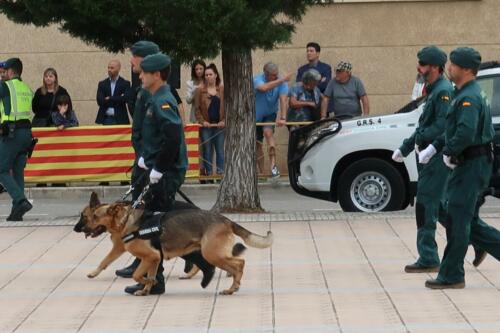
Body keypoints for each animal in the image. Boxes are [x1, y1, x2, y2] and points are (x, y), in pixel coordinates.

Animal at [74, 192, 274, 296]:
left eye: (89, 217)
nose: (76, 229)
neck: (125, 221)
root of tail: (225, 219)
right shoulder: (154, 259)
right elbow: (148, 274)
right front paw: (147, 289)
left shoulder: (149, 256)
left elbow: (137, 274)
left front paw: (147, 283)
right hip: (209, 252)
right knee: (232, 263)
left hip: (212, 254)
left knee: (239, 263)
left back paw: (233, 286)